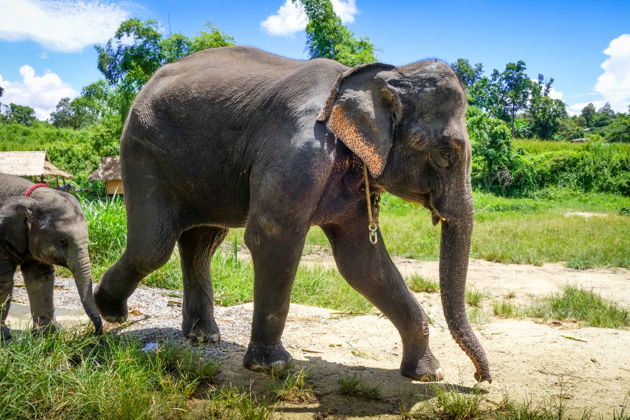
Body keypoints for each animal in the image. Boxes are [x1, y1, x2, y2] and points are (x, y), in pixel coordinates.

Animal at [0, 172, 101, 340]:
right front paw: (5, 338)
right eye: (62, 242)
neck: (29, 197)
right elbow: (3, 282)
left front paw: (48, 335)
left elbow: (40, 278)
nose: (95, 334)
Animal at [95, 46, 494, 384]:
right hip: (142, 150)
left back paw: (203, 337)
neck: (376, 74)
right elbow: (272, 236)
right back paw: (110, 312)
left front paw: (428, 374)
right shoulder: (298, 150)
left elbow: (361, 260)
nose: (481, 379)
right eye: (445, 154)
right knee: (153, 245)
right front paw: (272, 366)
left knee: (202, 243)